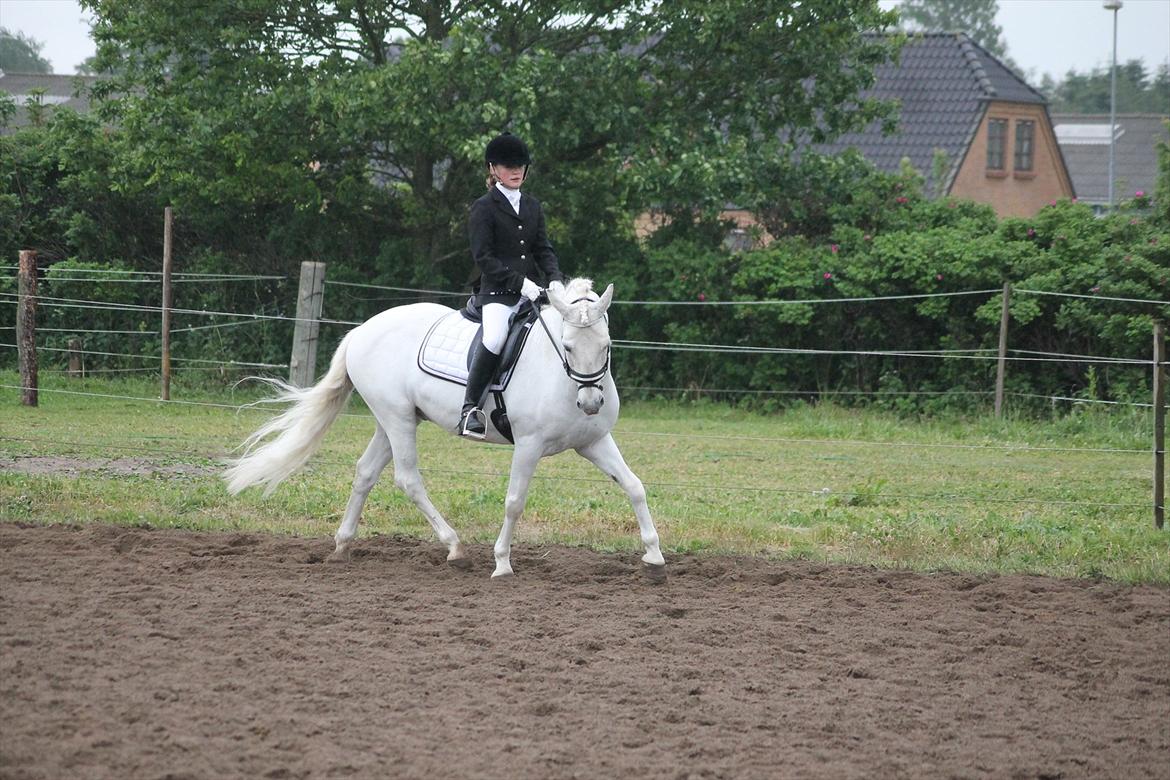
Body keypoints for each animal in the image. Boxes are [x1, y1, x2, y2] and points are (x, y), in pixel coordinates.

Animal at [219, 277, 664, 577]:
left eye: (607, 345)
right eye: (568, 346)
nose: (590, 404)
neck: (558, 371)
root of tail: (362, 330)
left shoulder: (594, 441)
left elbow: (634, 486)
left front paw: (654, 557)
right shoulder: (529, 445)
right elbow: (514, 501)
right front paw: (502, 563)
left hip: (391, 420)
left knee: (365, 472)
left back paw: (343, 546)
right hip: (397, 419)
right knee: (407, 478)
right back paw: (454, 547)